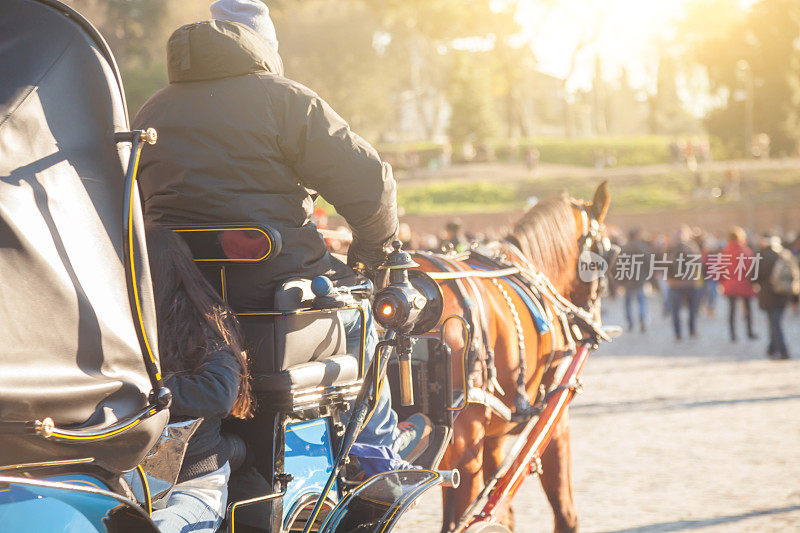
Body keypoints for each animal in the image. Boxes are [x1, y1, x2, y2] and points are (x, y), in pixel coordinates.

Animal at [416, 181, 608, 528]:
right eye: (609, 252)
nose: (593, 317)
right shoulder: (556, 417)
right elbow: (563, 508)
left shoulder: (493, 437)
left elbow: (502, 511)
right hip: (463, 451)